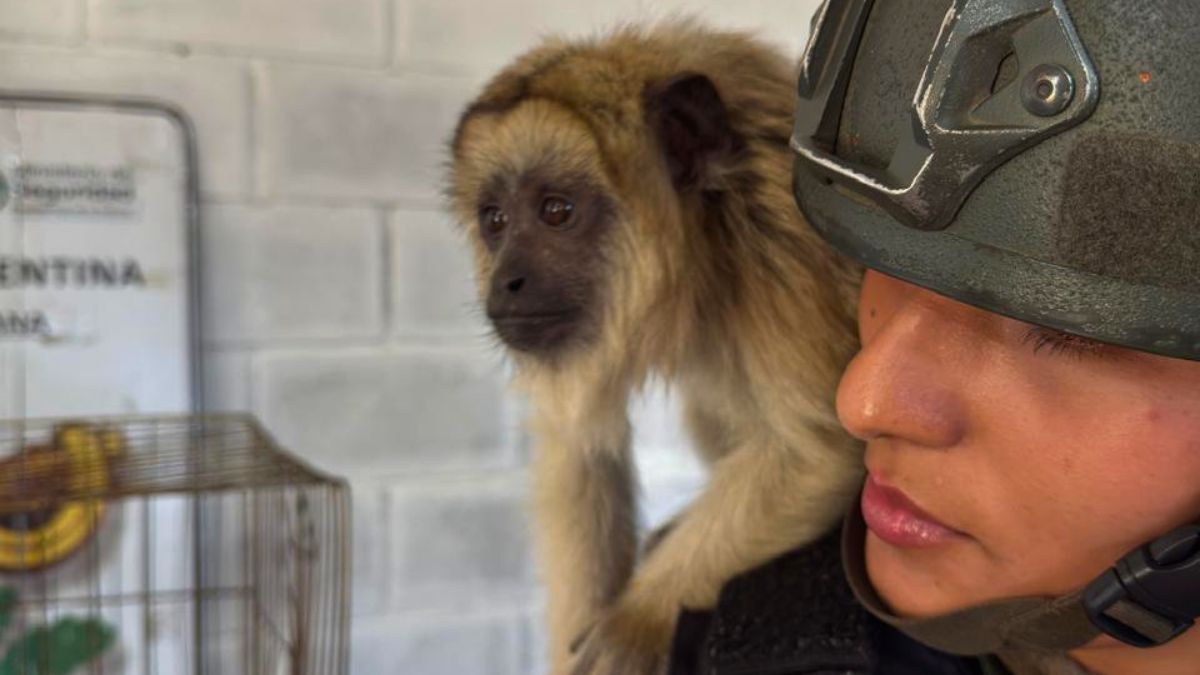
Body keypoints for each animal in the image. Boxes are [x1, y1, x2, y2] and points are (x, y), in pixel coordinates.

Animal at [445, 21, 864, 675]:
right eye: (495, 220)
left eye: (556, 211)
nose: (506, 281)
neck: (708, 229)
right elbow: (576, 443)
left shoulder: (787, 247)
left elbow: (818, 450)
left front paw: (635, 621)